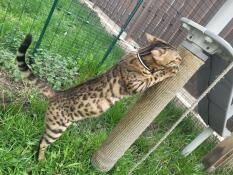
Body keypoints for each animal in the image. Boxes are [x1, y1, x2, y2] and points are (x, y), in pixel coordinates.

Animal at [15, 32, 182, 160]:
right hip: (56, 128)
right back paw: (41, 159)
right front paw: (170, 71)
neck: (142, 55)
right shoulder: (136, 85)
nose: (181, 61)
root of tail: (58, 93)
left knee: (40, 139)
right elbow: (155, 76)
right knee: (43, 142)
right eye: (178, 58)